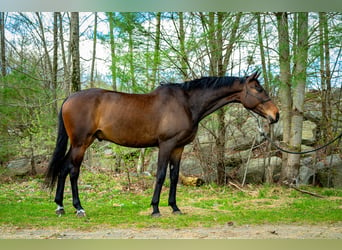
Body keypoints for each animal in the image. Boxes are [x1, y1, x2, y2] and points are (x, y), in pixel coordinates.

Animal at [45, 72, 280, 217]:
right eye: (258, 89)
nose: (275, 115)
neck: (186, 103)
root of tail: (69, 98)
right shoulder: (166, 145)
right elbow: (160, 175)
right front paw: (155, 208)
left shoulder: (178, 147)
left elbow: (174, 177)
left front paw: (174, 207)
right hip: (81, 143)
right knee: (73, 171)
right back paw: (78, 208)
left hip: (80, 143)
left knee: (63, 169)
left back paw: (60, 206)